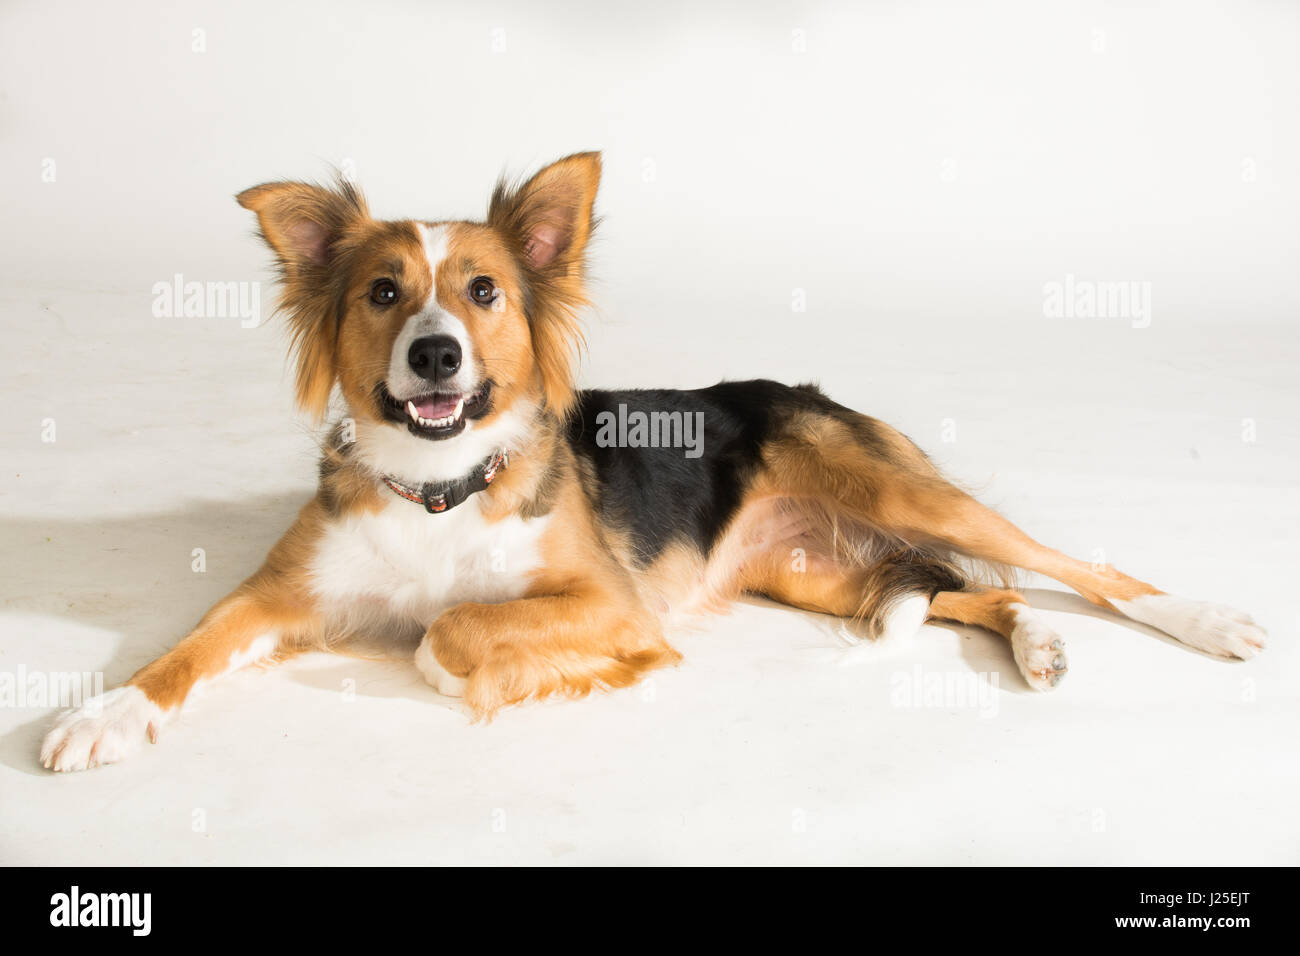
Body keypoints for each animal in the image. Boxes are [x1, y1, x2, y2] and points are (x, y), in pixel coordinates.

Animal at [38, 153, 1258, 775]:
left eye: (483, 292)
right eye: (383, 293)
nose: (434, 353)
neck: (441, 486)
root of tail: (808, 392)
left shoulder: (613, 604)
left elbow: (450, 630)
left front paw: (490, 673)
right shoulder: (278, 592)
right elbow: (184, 646)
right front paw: (106, 713)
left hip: (899, 490)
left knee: (1068, 567)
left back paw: (1202, 618)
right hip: (818, 574)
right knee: (970, 592)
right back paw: (1037, 644)